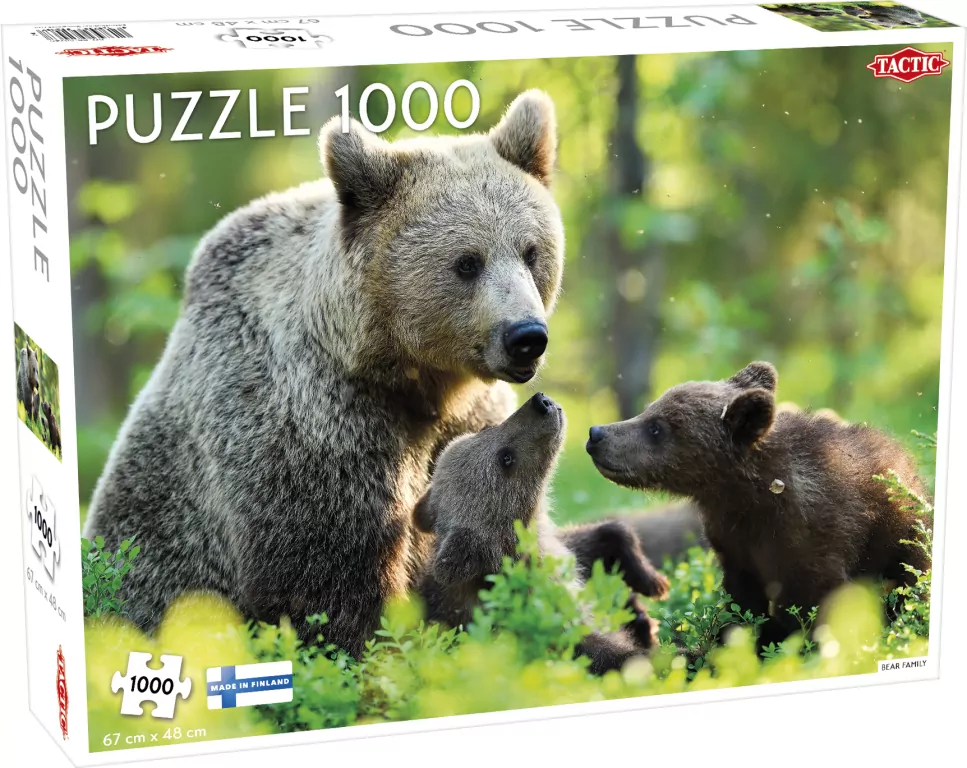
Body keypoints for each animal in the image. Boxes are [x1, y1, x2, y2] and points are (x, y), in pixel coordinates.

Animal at [82, 90, 566, 656]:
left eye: (531, 252)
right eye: (467, 262)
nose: (526, 335)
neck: (408, 376)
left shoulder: (470, 416)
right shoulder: (315, 423)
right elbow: (328, 580)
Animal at [414, 391, 668, 673]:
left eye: (485, 429)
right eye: (506, 458)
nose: (541, 402)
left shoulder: (561, 551)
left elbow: (603, 536)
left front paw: (651, 582)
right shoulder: (540, 615)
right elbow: (601, 652)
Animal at [585, 361, 932, 651]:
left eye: (657, 427)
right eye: (649, 410)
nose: (596, 433)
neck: (748, 496)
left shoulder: (814, 537)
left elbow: (811, 603)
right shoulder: (735, 544)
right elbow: (742, 604)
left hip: (899, 542)